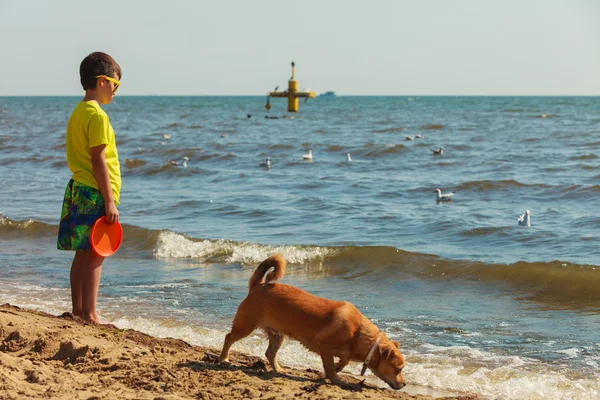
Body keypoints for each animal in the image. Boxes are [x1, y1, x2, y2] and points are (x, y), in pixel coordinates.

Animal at [220, 255, 408, 390]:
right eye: (398, 369)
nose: (405, 384)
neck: (359, 333)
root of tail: (258, 286)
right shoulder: (325, 347)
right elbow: (331, 367)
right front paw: (337, 380)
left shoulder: (341, 353)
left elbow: (341, 363)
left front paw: (333, 371)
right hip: (246, 325)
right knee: (228, 337)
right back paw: (224, 358)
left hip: (277, 334)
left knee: (270, 353)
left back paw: (278, 369)